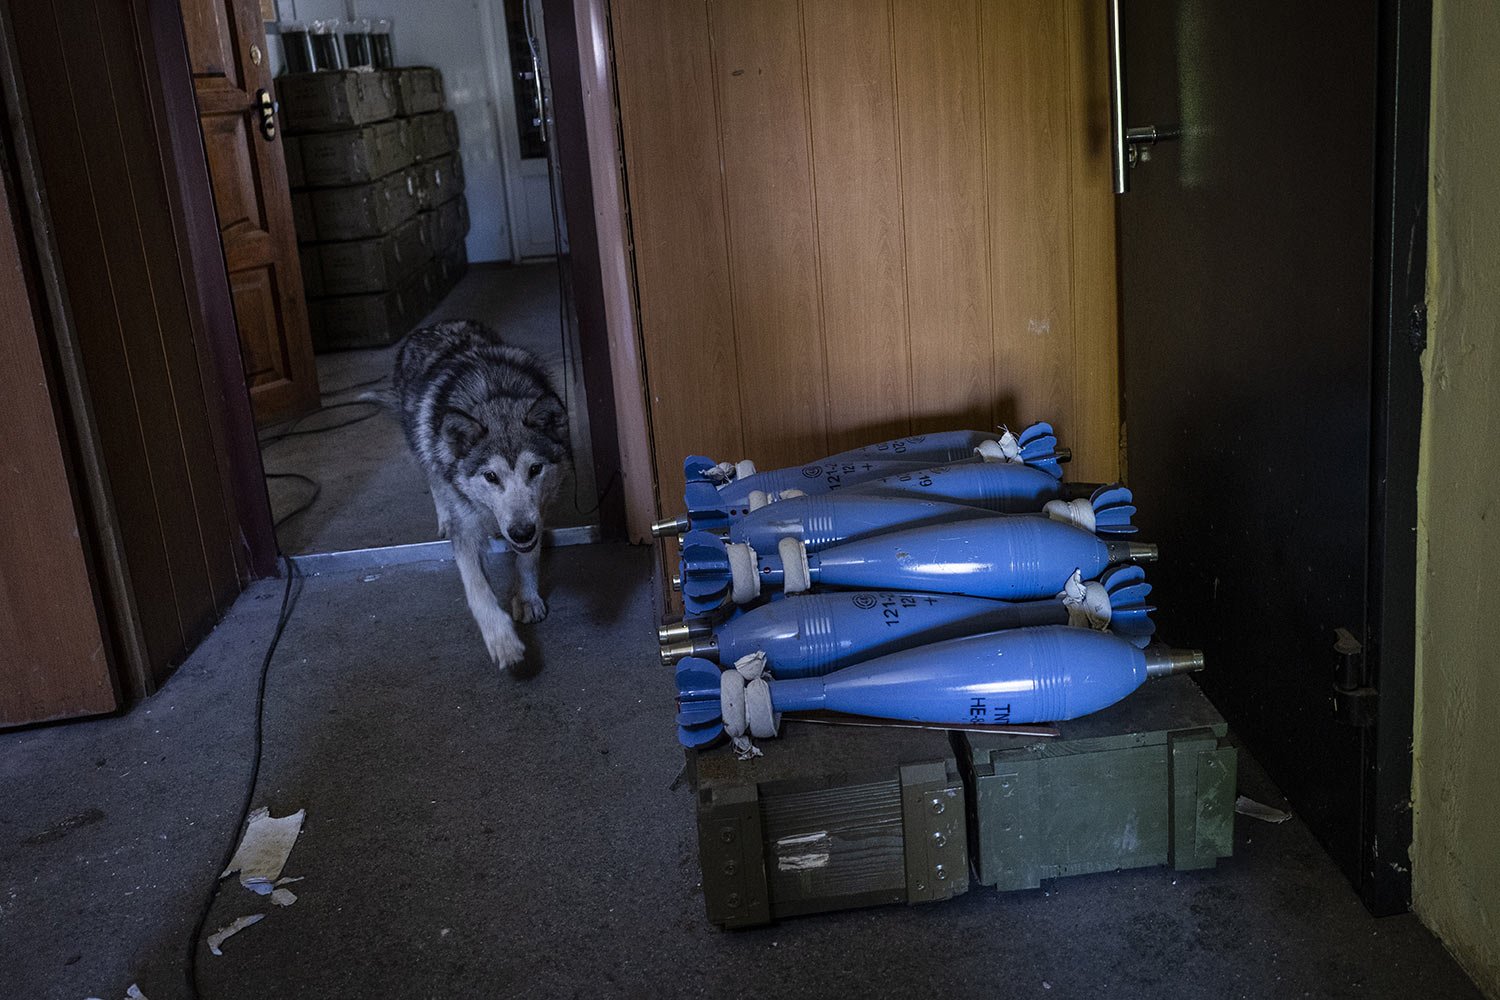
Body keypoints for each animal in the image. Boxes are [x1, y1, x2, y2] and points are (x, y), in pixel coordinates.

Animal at [393, 316, 567, 668]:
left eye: (535, 470)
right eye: (490, 476)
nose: (520, 531)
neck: (493, 393)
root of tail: (432, 326)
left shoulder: (537, 511)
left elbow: (529, 558)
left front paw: (527, 597)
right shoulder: (468, 527)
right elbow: (477, 588)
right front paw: (502, 641)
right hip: (422, 450)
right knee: (434, 480)